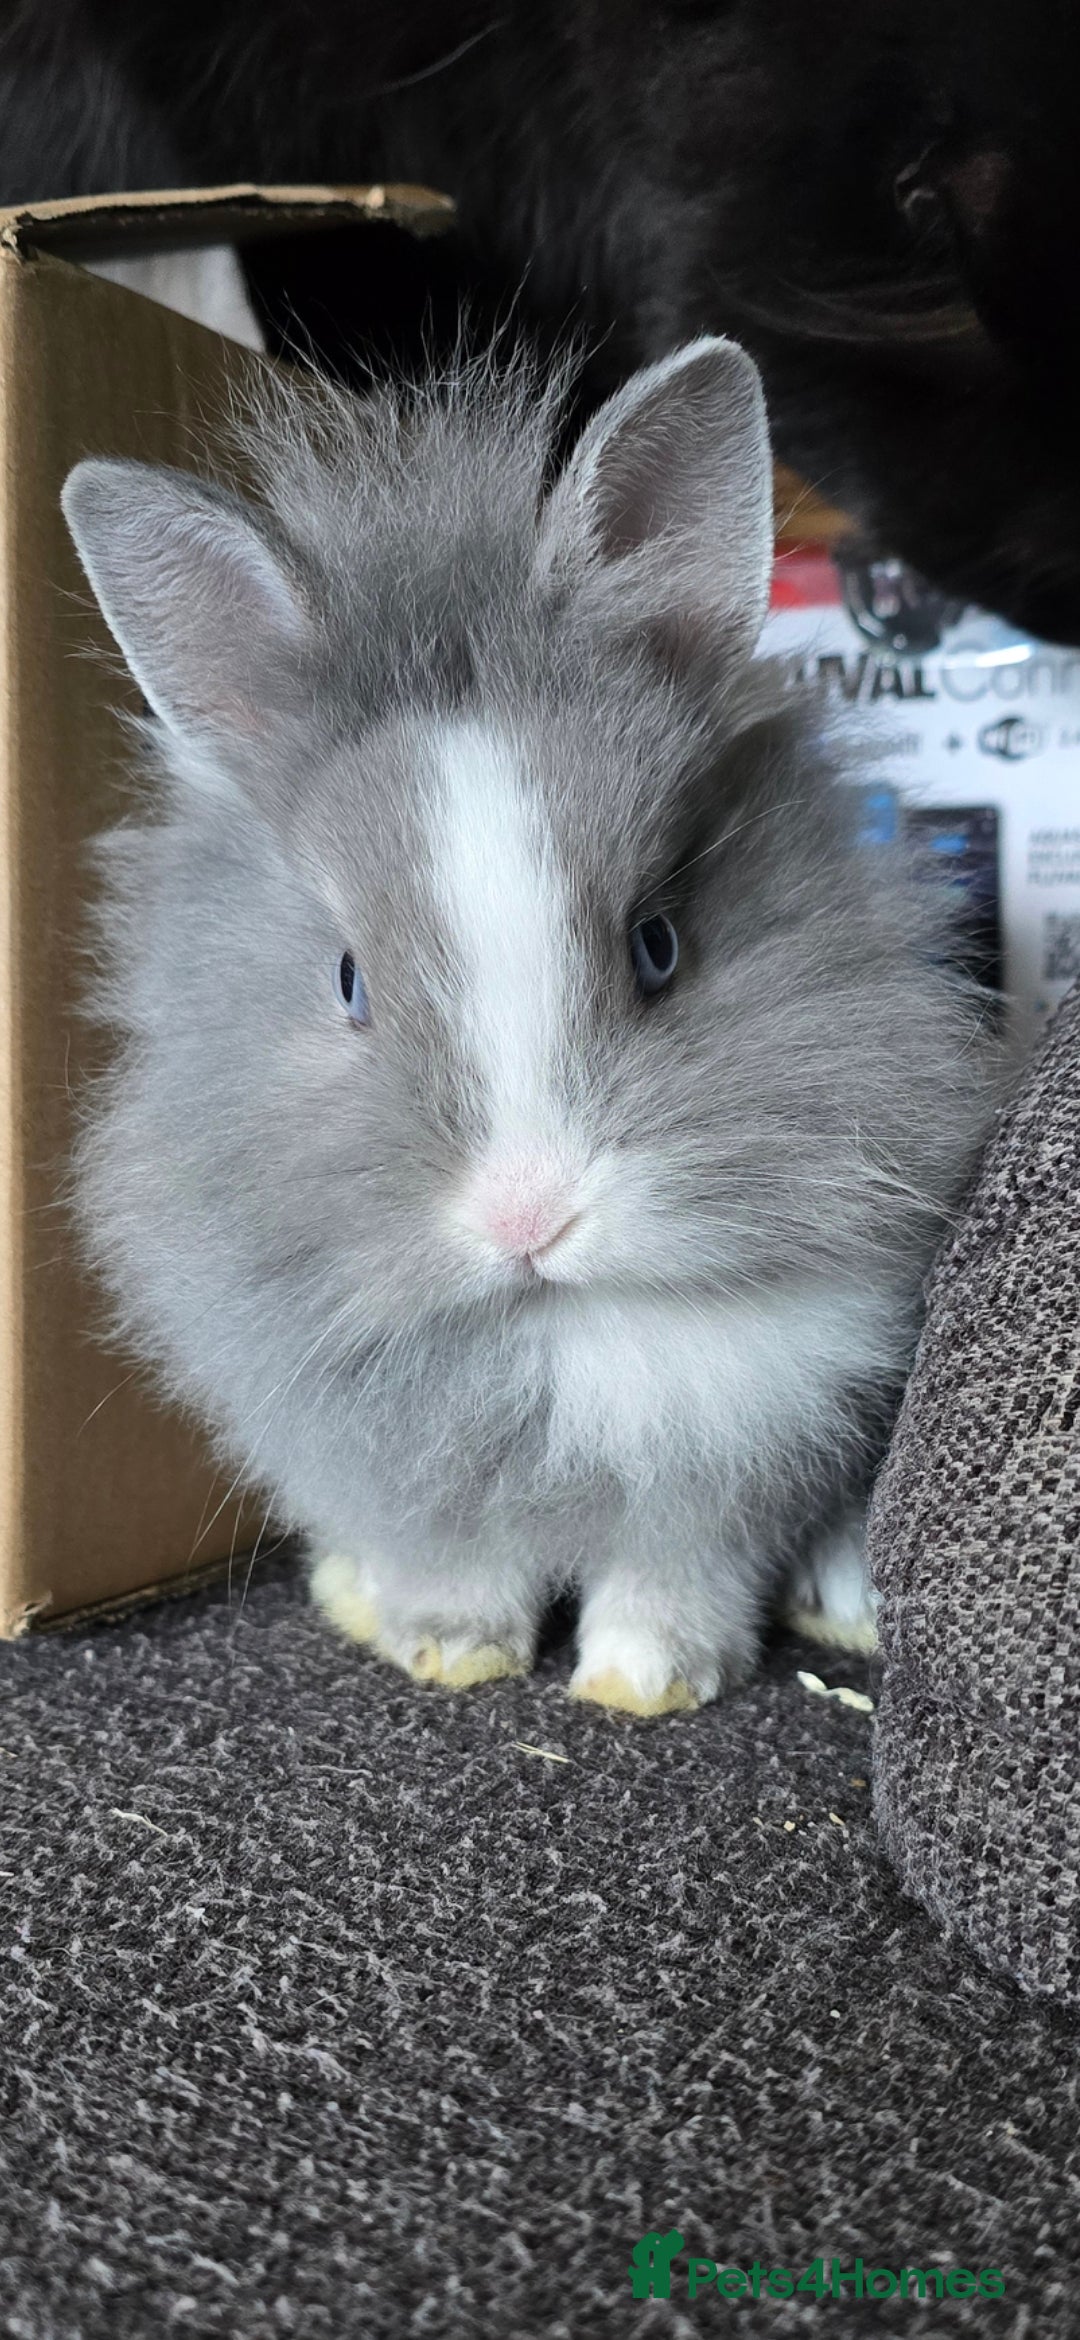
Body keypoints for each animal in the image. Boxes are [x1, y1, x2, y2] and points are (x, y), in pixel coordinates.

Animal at [61, 337, 997, 1716]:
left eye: (659, 944)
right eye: (347, 980)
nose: (528, 1219)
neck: (552, 1333)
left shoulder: (732, 1469)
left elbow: (675, 1576)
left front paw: (646, 1685)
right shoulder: (396, 1469)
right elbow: (456, 1564)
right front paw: (452, 1656)